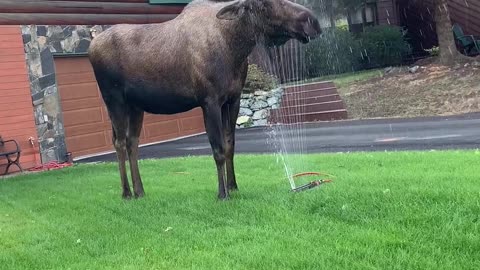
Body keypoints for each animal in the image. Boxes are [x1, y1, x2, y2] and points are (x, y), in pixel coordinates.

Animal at [90, 0, 322, 199]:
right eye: (263, 4)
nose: (312, 21)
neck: (236, 47)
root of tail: (91, 46)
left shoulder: (233, 99)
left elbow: (230, 146)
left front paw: (233, 186)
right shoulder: (209, 101)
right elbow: (217, 149)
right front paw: (222, 193)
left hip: (136, 106)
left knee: (132, 142)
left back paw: (140, 191)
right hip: (114, 100)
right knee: (119, 142)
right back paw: (127, 193)